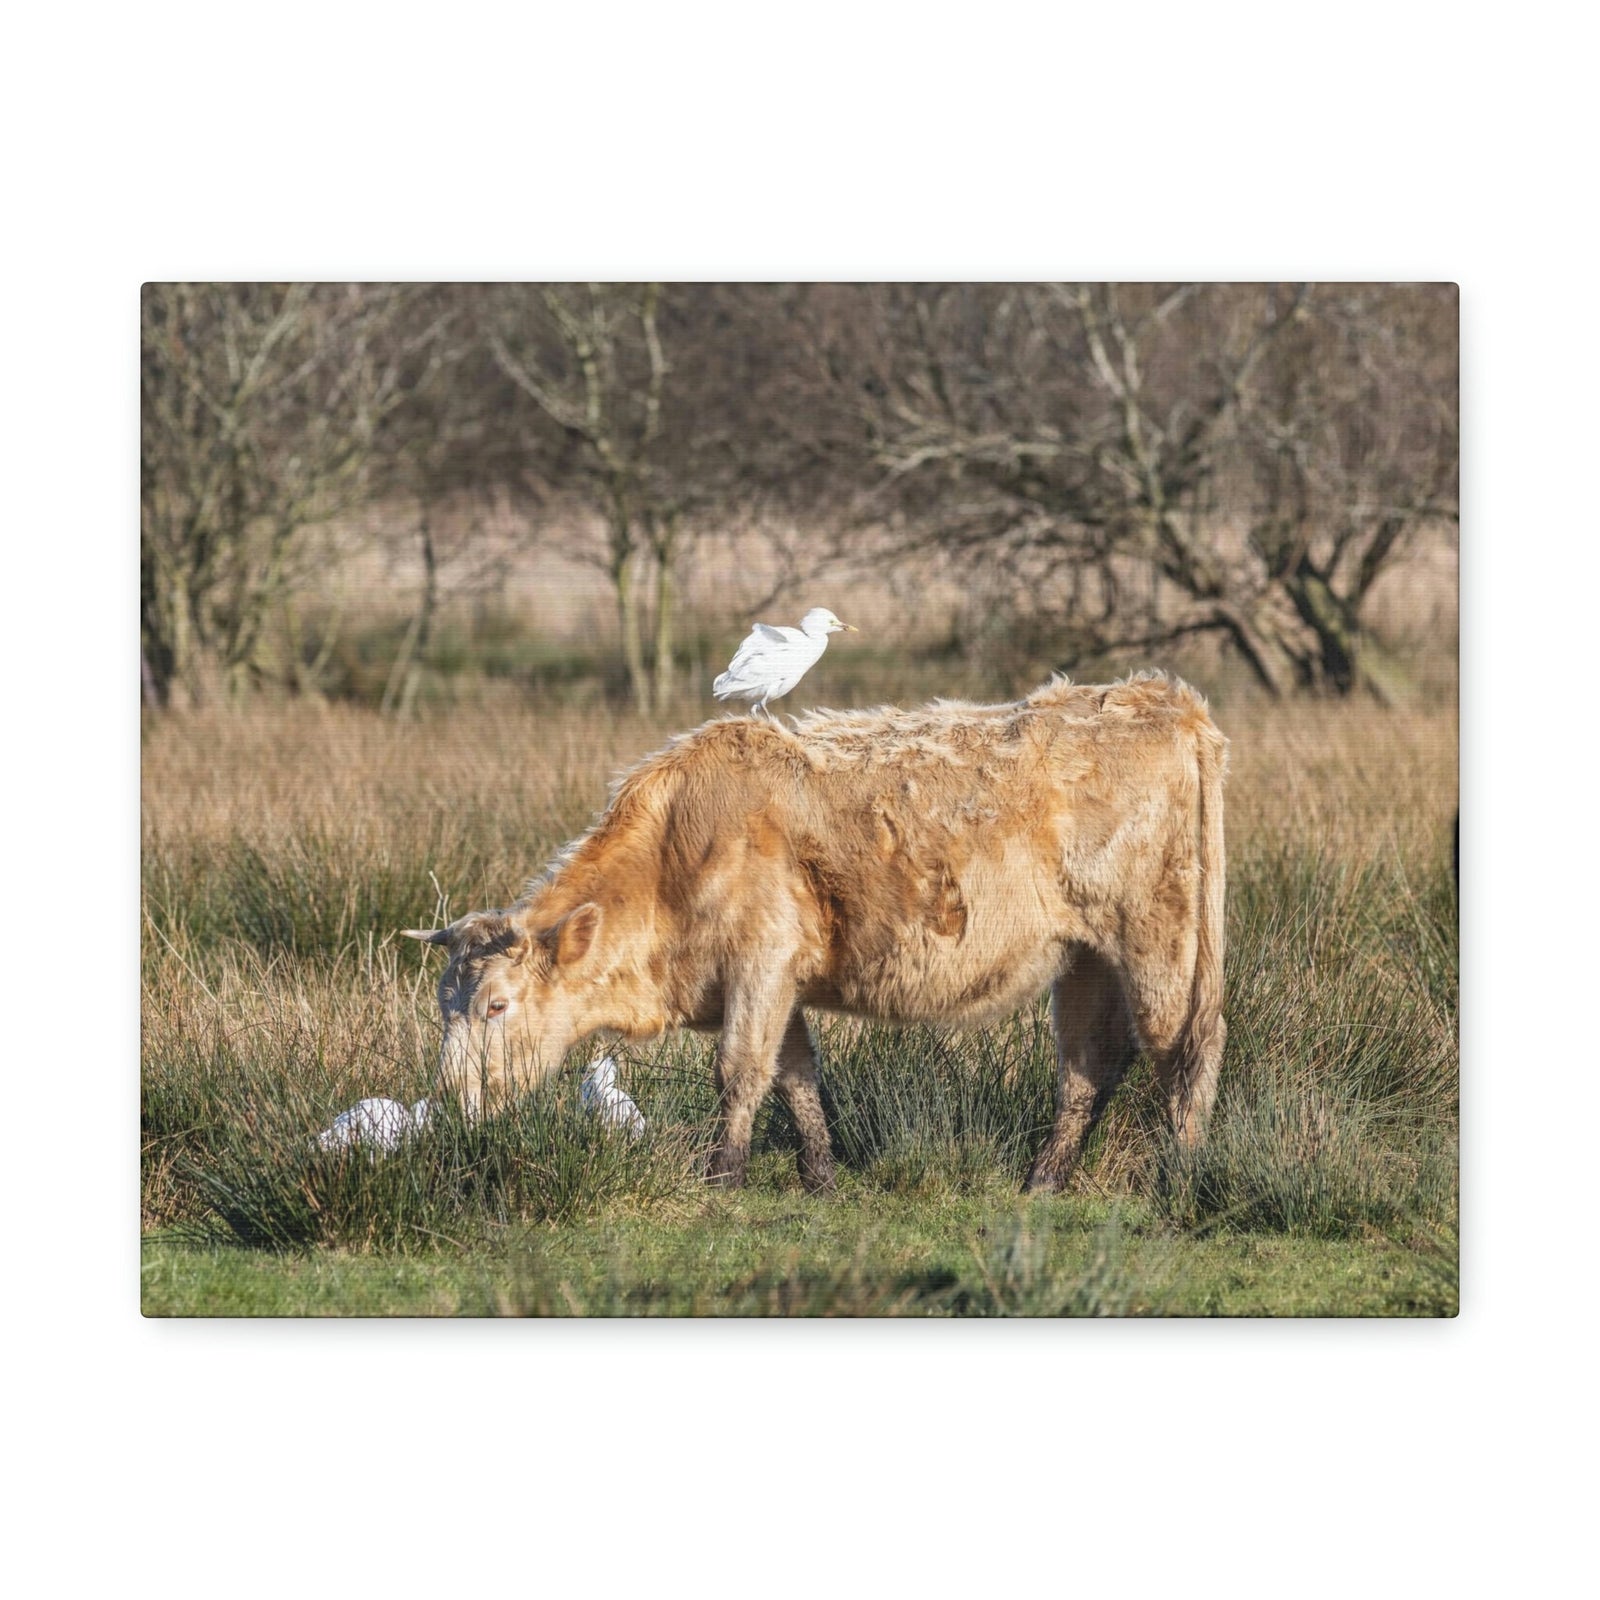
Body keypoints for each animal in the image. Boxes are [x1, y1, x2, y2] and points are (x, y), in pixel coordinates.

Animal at [404, 672, 1228, 1194]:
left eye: (498, 1005)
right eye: (443, 1006)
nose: (447, 1102)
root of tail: (1165, 699)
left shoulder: (760, 965)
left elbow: (740, 1071)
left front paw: (722, 1176)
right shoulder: (779, 984)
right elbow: (797, 1078)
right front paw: (821, 1177)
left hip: (1162, 942)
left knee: (1185, 1048)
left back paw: (1180, 1172)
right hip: (1087, 957)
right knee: (1088, 1065)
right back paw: (1043, 1179)